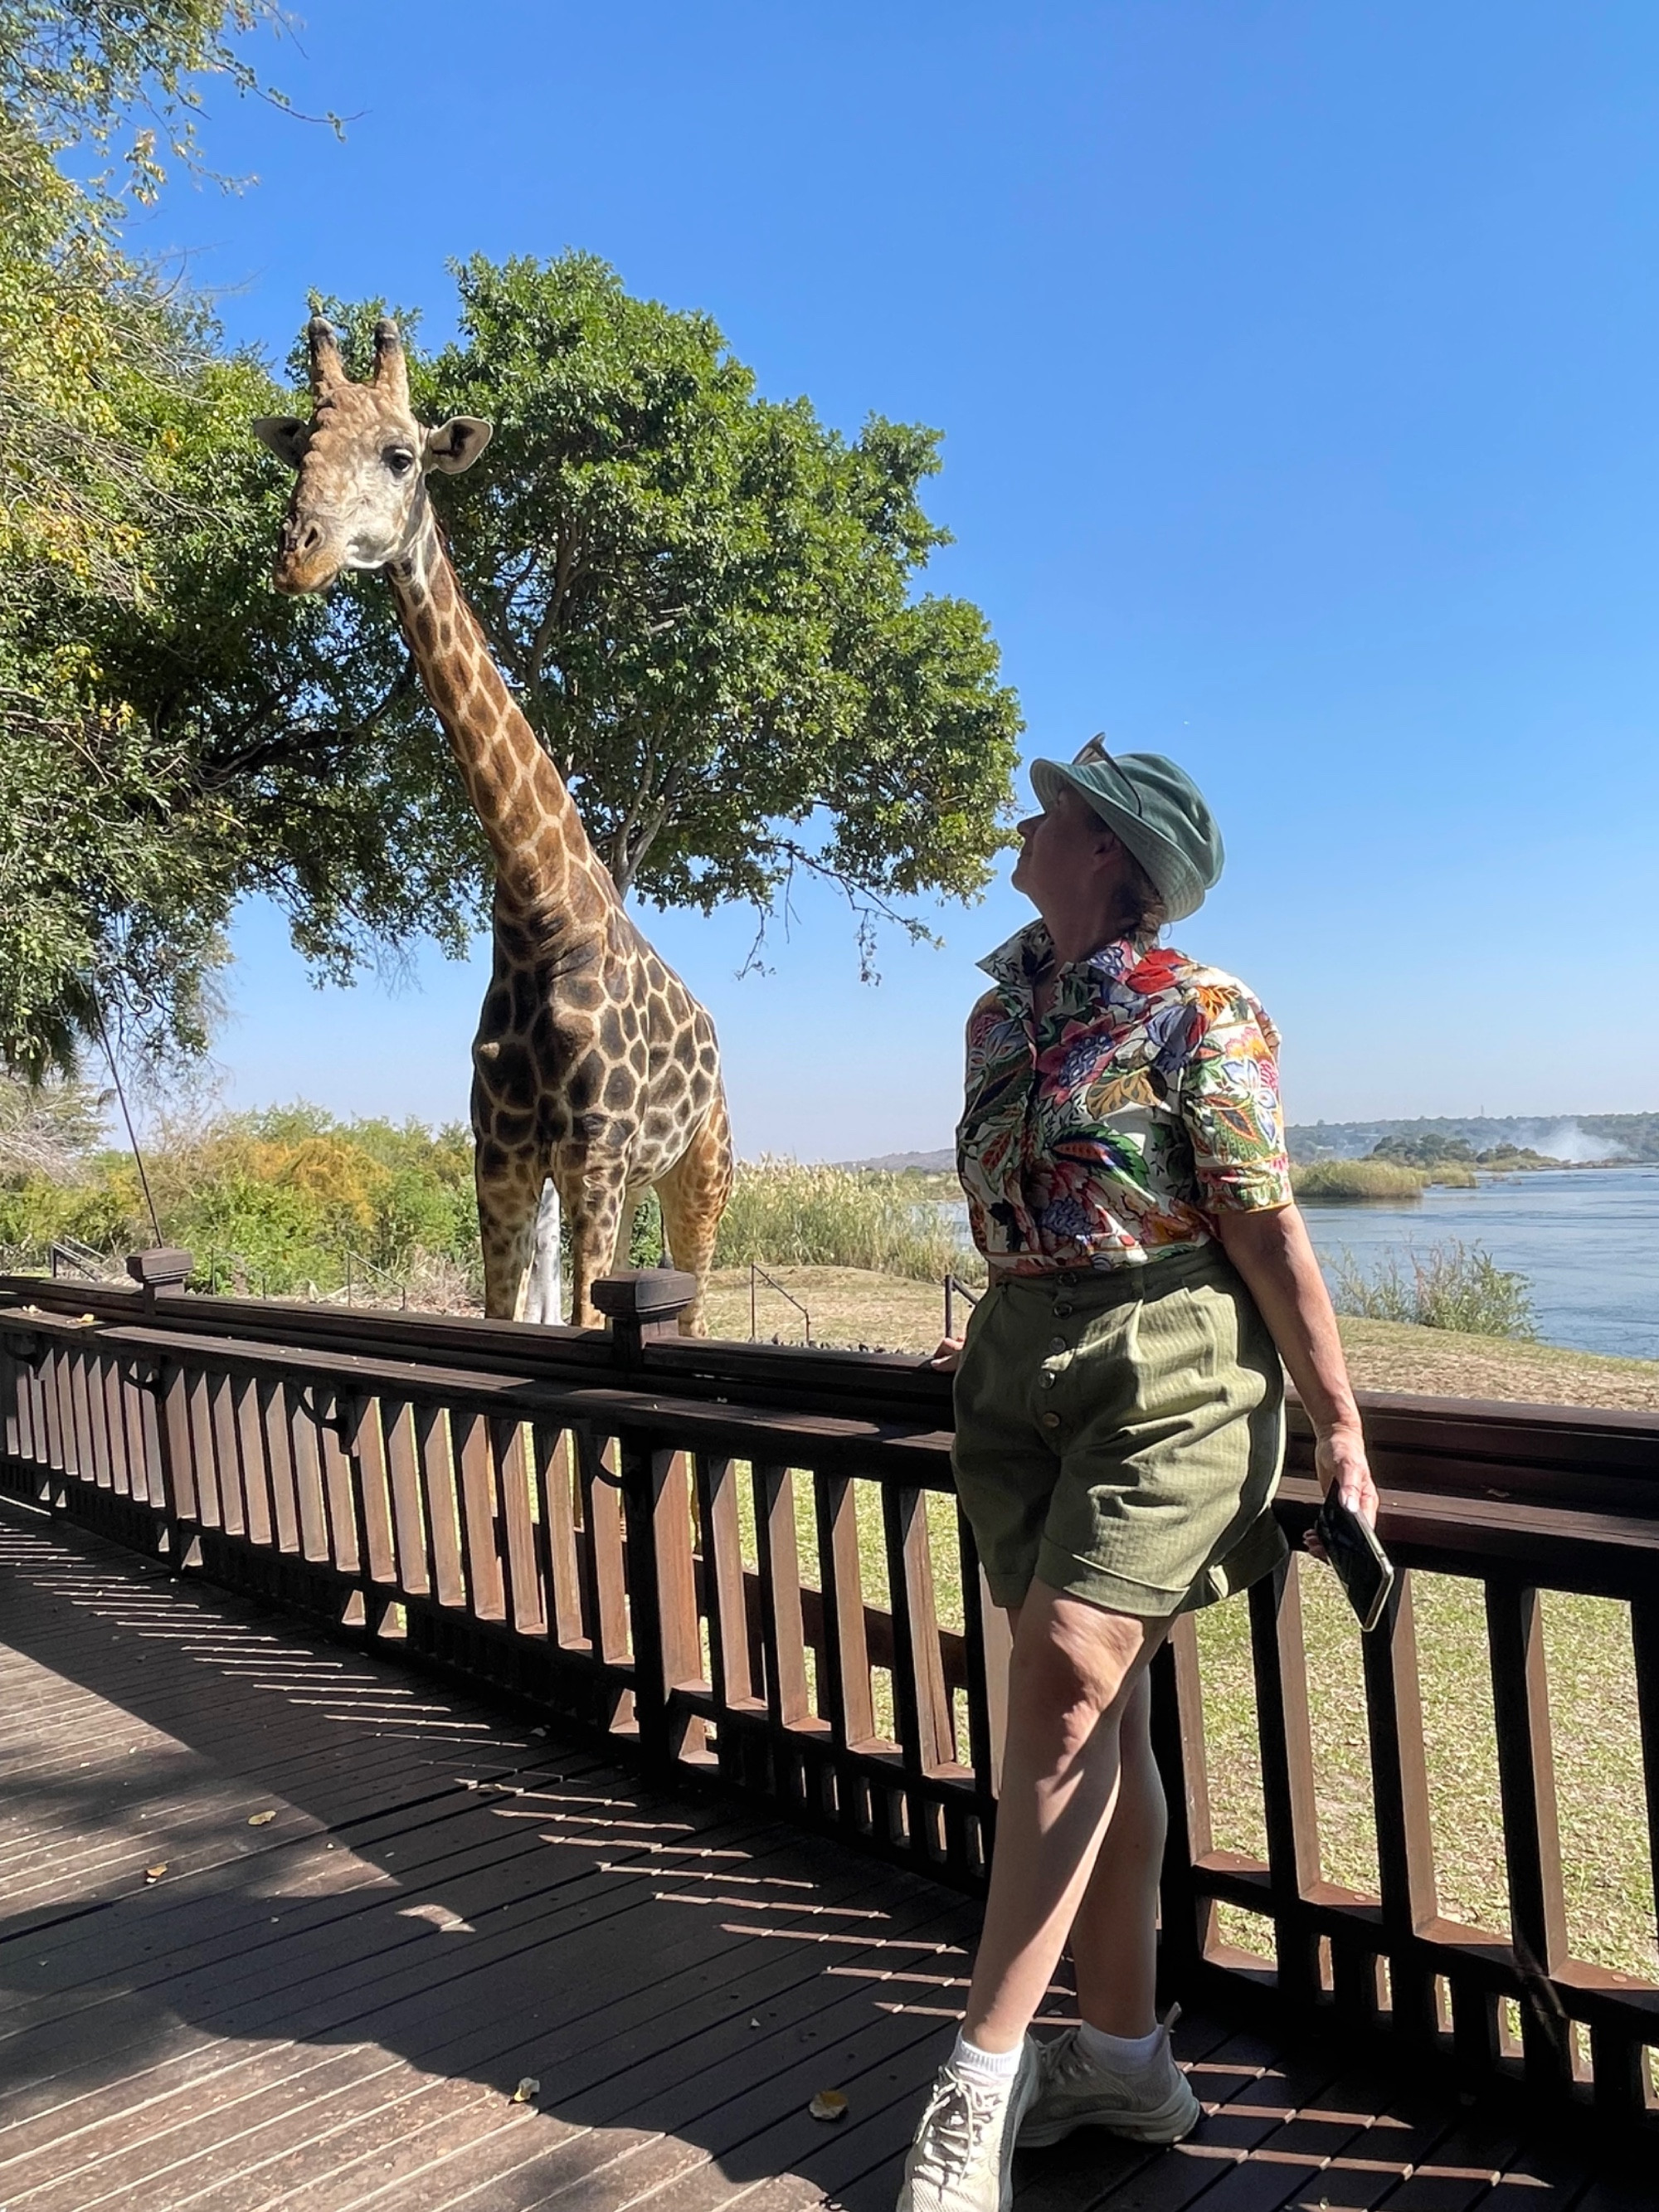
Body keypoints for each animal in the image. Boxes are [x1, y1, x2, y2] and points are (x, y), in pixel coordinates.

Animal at [253, 316, 734, 1327]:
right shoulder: (503, 1159)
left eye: (401, 455)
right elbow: (507, 1323)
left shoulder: (592, 1156)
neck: (538, 911)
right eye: (301, 447)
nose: (298, 552)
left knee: (695, 1299)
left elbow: (588, 1321)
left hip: (701, 1167)